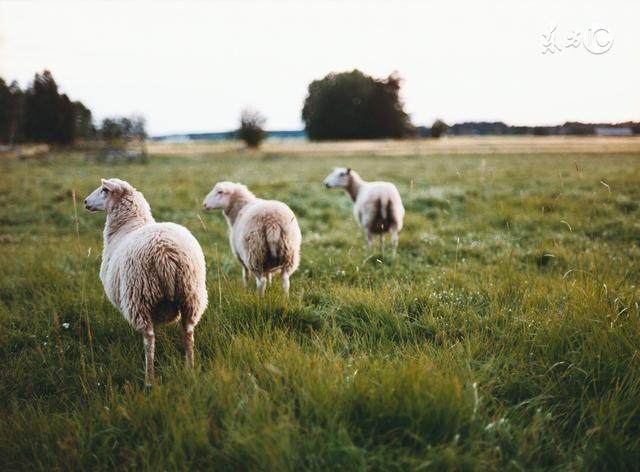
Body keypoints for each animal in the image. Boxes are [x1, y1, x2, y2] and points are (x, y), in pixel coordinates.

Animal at [84, 178, 208, 388]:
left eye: (104, 190)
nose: (85, 202)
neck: (130, 224)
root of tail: (165, 253)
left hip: (139, 295)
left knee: (149, 339)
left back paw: (149, 379)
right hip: (191, 294)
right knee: (188, 332)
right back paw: (189, 370)